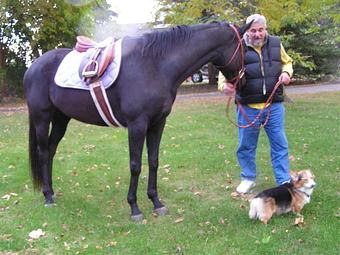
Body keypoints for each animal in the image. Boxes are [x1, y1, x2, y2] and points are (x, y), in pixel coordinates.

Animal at [23, 21, 251, 221]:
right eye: (245, 48)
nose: (244, 82)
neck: (155, 65)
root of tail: (33, 67)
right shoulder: (137, 125)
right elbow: (135, 166)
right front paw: (134, 208)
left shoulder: (158, 123)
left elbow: (154, 161)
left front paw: (156, 203)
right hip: (42, 118)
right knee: (43, 152)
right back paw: (48, 196)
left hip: (61, 119)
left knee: (51, 150)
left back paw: (51, 192)